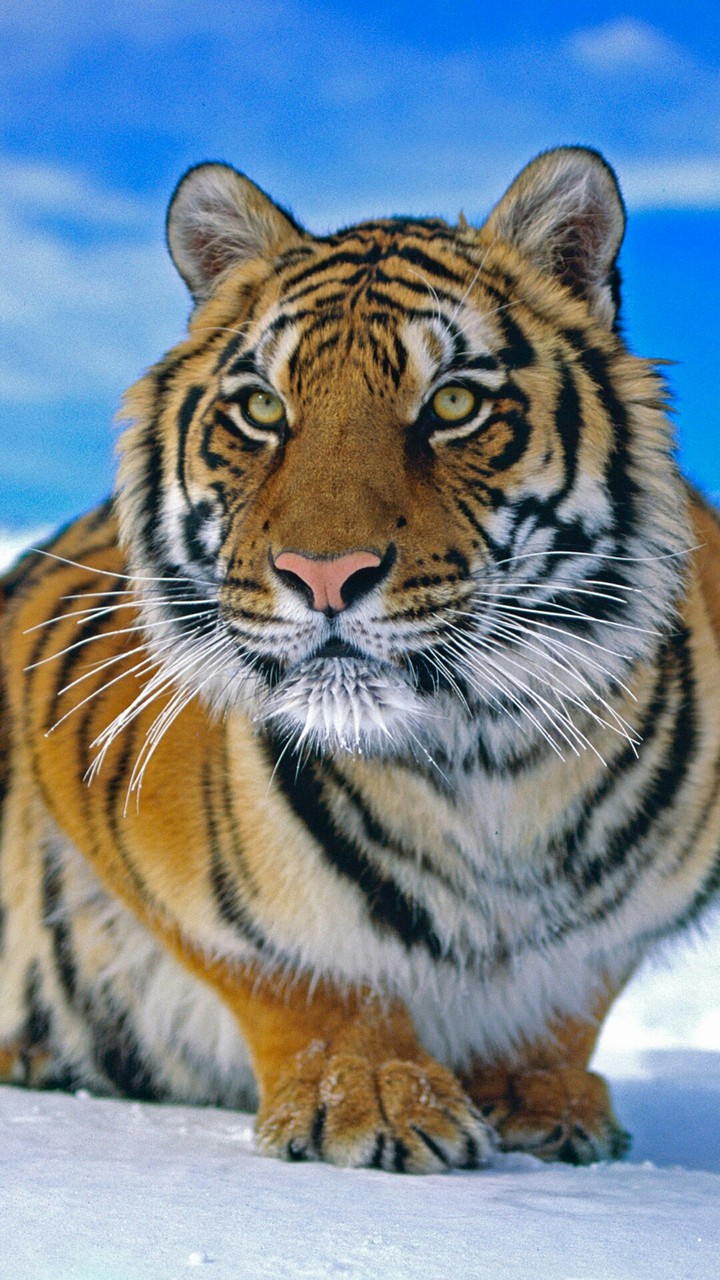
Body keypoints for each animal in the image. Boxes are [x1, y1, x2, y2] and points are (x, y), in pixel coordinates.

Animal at [1, 145, 719, 1175]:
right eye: (262, 409)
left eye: (454, 402)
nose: (324, 575)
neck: (487, 758)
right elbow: (296, 969)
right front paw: (369, 1096)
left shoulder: (629, 920)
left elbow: (576, 991)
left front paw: (541, 1098)